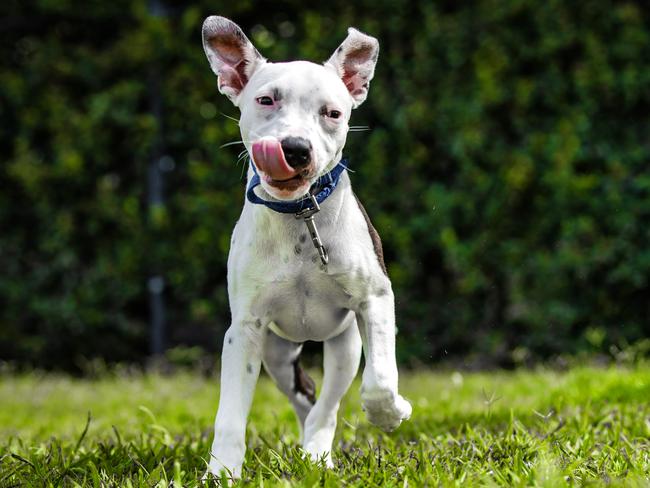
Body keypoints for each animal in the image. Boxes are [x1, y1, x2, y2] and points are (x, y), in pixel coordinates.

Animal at [200, 15, 410, 476]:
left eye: (333, 113)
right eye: (266, 100)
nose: (294, 148)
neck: (300, 214)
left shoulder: (374, 299)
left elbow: (380, 381)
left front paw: (390, 414)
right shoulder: (245, 330)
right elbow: (229, 414)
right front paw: (221, 471)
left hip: (345, 344)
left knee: (327, 402)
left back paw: (317, 451)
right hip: (277, 353)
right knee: (305, 394)